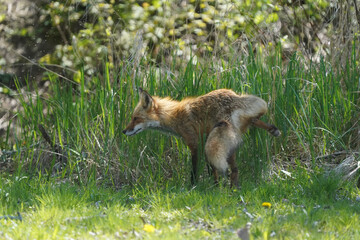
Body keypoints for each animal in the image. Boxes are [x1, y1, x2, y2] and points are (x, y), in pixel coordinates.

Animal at [124, 88, 282, 188]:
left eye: (136, 118)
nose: (124, 131)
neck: (174, 116)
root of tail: (236, 98)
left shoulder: (194, 142)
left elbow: (194, 169)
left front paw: (193, 186)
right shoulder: (202, 139)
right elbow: (211, 169)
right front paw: (215, 186)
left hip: (215, 141)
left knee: (233, 169)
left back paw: (232, 189)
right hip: (226, 141)